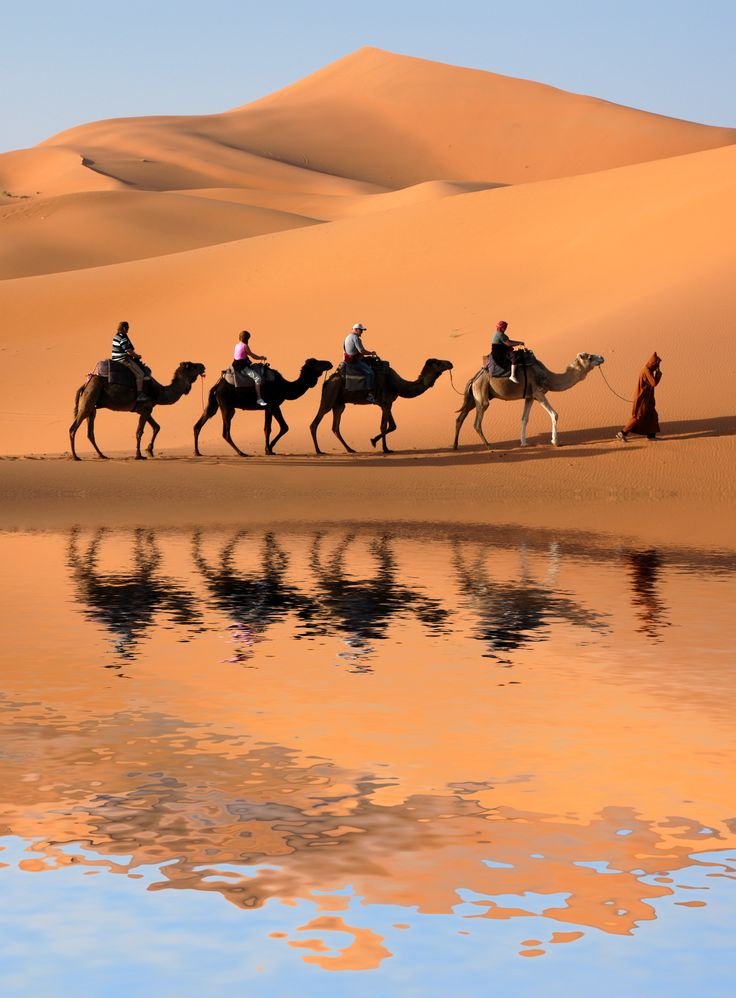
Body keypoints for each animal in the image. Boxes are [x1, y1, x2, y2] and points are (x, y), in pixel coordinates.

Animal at [70, 360, 206, 460]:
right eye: (193, 365)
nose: (203, 365)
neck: (159, 392)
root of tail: (84, 385)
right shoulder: (146, 408)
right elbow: (139, 432)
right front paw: (139, 455)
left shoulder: (146, 409)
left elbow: (157, 427)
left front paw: (149, 451)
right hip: (88, 400)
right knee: (73, 428)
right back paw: (76, 457)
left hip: (92, 407)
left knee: (90, 432)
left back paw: (102, 455)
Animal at [193, 357, 333, 456]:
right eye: (317, 363)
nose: (329, 363)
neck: (285, 387)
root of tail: (217, 386)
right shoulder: (274, 405)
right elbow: (283, 427)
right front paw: (269, 448)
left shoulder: (268, 407)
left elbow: (267, 428)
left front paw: (268, 449)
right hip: (227, 406)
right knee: (226, 432)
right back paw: (241, 453)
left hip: (215, 404)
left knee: (201, 422)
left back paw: (198, 452)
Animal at [310, 357, 453, 454]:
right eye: (438, 362)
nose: (450, 363)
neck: (398, 384)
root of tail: (328, 381)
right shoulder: (386, 403)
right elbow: (384, 426)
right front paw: (385, 449)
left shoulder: (387, 403)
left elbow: (393, 426)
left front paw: (373, 441)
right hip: (330, 396)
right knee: (315, 423)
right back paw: (319, 451)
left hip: (339, 404)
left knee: (335, 427)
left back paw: (350, 449)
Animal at [453, 352, 605, 449]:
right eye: (589, 357)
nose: (602, 357)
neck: (548, 377)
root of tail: (473, 379)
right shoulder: (538, 393)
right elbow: (554, 414)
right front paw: (555, 442)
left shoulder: (529, 396)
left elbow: (524, 418)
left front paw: (524, 443)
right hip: (482, 394)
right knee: (477, 422)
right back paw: (489, 446)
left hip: (473, 398)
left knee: (460, 417)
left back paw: (455, 446)